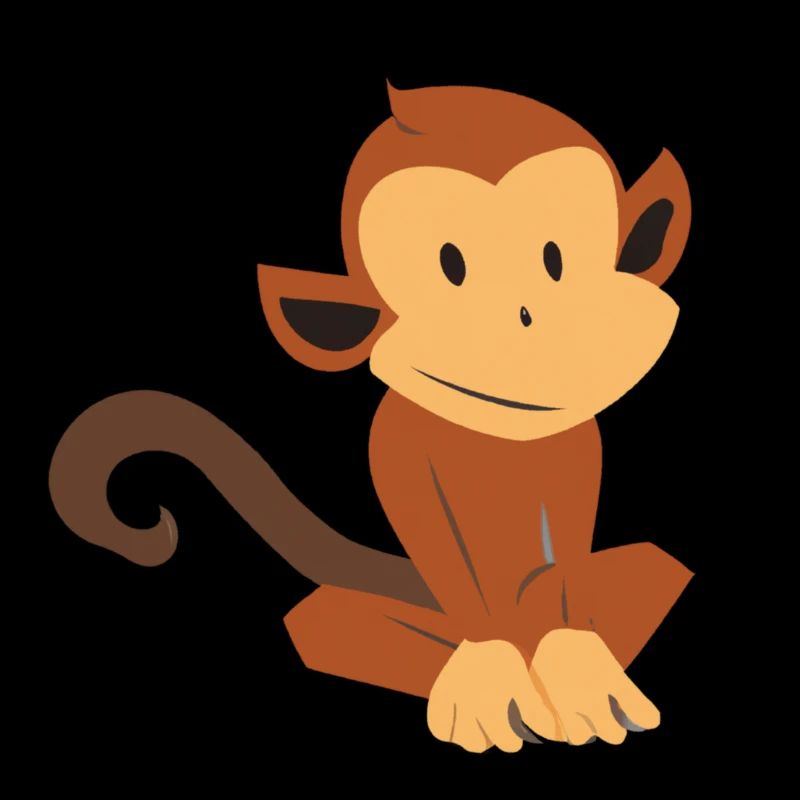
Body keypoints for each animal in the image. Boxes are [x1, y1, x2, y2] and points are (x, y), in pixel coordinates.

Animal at [49, 82, 693, 753]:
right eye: (450, 263)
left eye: (555, 255)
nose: (524, 318)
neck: (496, 438)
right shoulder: (400, 453)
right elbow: (446, 549)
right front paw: (490, 678)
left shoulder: (578, 452)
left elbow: (567, 559)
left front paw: (579, 672)